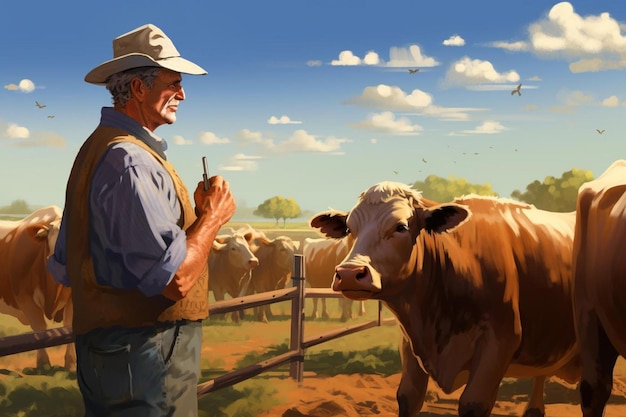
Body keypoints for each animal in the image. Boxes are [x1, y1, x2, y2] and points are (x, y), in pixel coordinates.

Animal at [310, 181, 576, 416]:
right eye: (349, 229)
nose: (349, 273)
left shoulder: (501, 339)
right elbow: (408, 397)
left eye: (401, 227)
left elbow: (473, 403)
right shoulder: (410, 344)